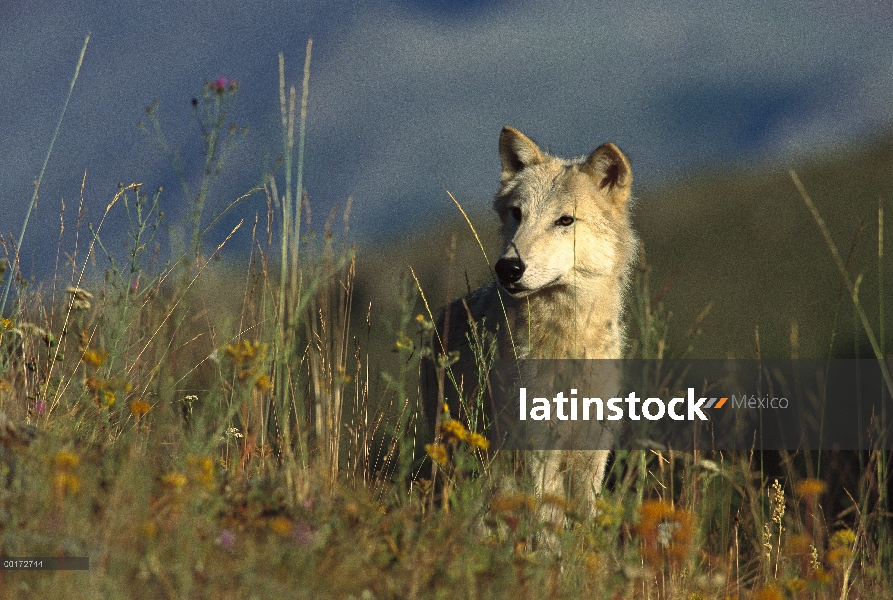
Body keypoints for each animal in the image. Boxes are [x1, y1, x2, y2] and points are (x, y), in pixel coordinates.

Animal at [424, 125, 636, 510]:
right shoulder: (537, 454)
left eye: (565, 220)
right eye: (517, 214)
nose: (508, 268)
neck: (568, 341)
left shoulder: (592, 457)